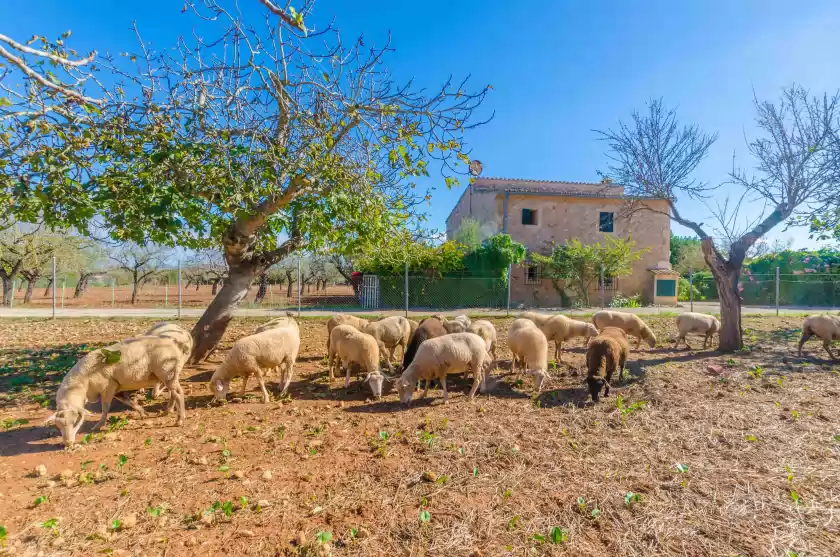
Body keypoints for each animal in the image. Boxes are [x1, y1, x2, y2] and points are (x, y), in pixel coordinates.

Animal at [46, 332, 186, 446]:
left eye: (76, 422)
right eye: (57, 425)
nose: (68, 443)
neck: (81, 384)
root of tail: (174, 343)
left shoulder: (108, 387)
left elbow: (105, 408)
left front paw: (98, 426)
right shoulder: (117, 388)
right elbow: (128, 402)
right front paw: (143, 412)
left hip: (166, 371)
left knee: (178, 394)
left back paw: (180, 420)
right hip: (171, 373)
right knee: (175, 393)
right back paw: (169, 411)